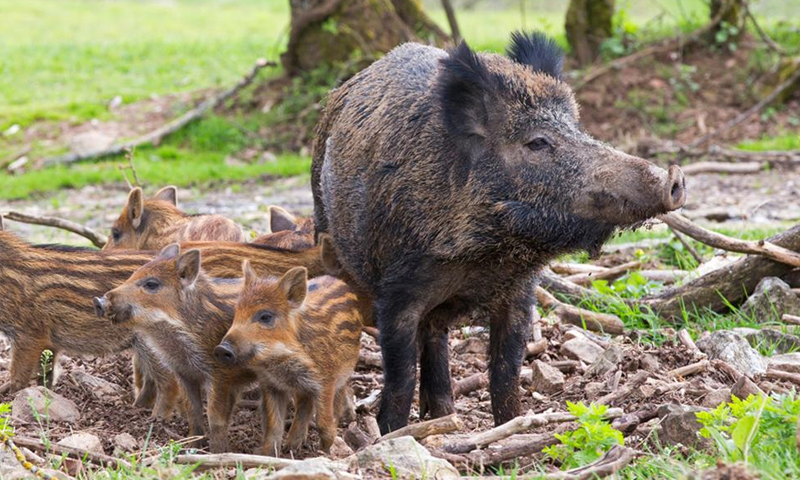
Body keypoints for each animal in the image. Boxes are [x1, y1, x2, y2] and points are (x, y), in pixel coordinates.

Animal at [214, 263, 362, 454]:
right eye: (236, 312)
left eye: (265, 316)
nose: (220, 349)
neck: (281, 358)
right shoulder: (271, 384)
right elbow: (274, 425)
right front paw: (268, 454)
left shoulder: (326, 381)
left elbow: (323, 423)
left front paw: (325, 453)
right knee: (304, 405)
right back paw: (292, 446)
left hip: (344, 373)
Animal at [310, 32, 686, 433]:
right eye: (537, 142)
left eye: (576, 129)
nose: (674, 178)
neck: (484, 255)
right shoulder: (397, 292)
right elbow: (400, 376)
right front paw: (390, 433)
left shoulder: (519, 293)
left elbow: (507, 373)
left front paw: (511, 425)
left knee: (436, 334)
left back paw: (443, 415)